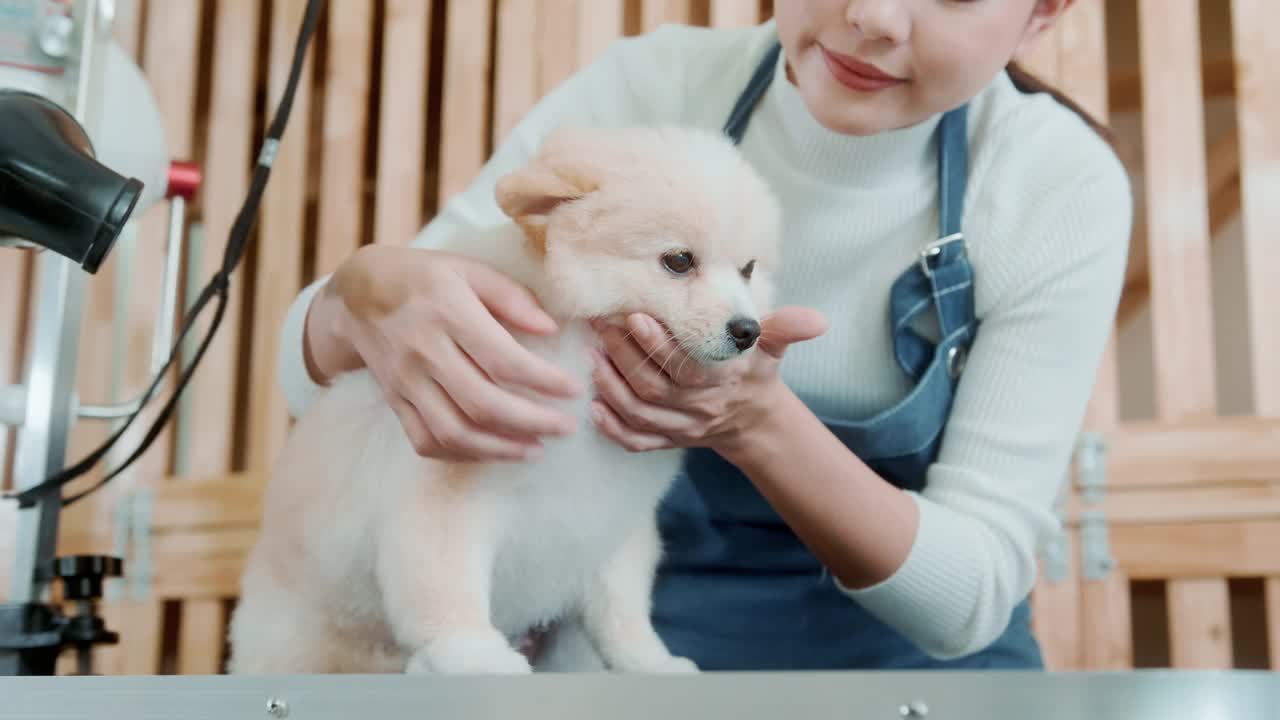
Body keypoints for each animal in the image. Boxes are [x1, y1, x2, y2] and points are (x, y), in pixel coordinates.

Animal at [227, 121, 778, 671]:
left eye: (748, 269)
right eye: (679, 261)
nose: (747, 330)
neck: (579, 356)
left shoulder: (611, 520)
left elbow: (620, 609)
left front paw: (648, 660)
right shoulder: (445, 491)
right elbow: (445, 583)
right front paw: (471, 653)